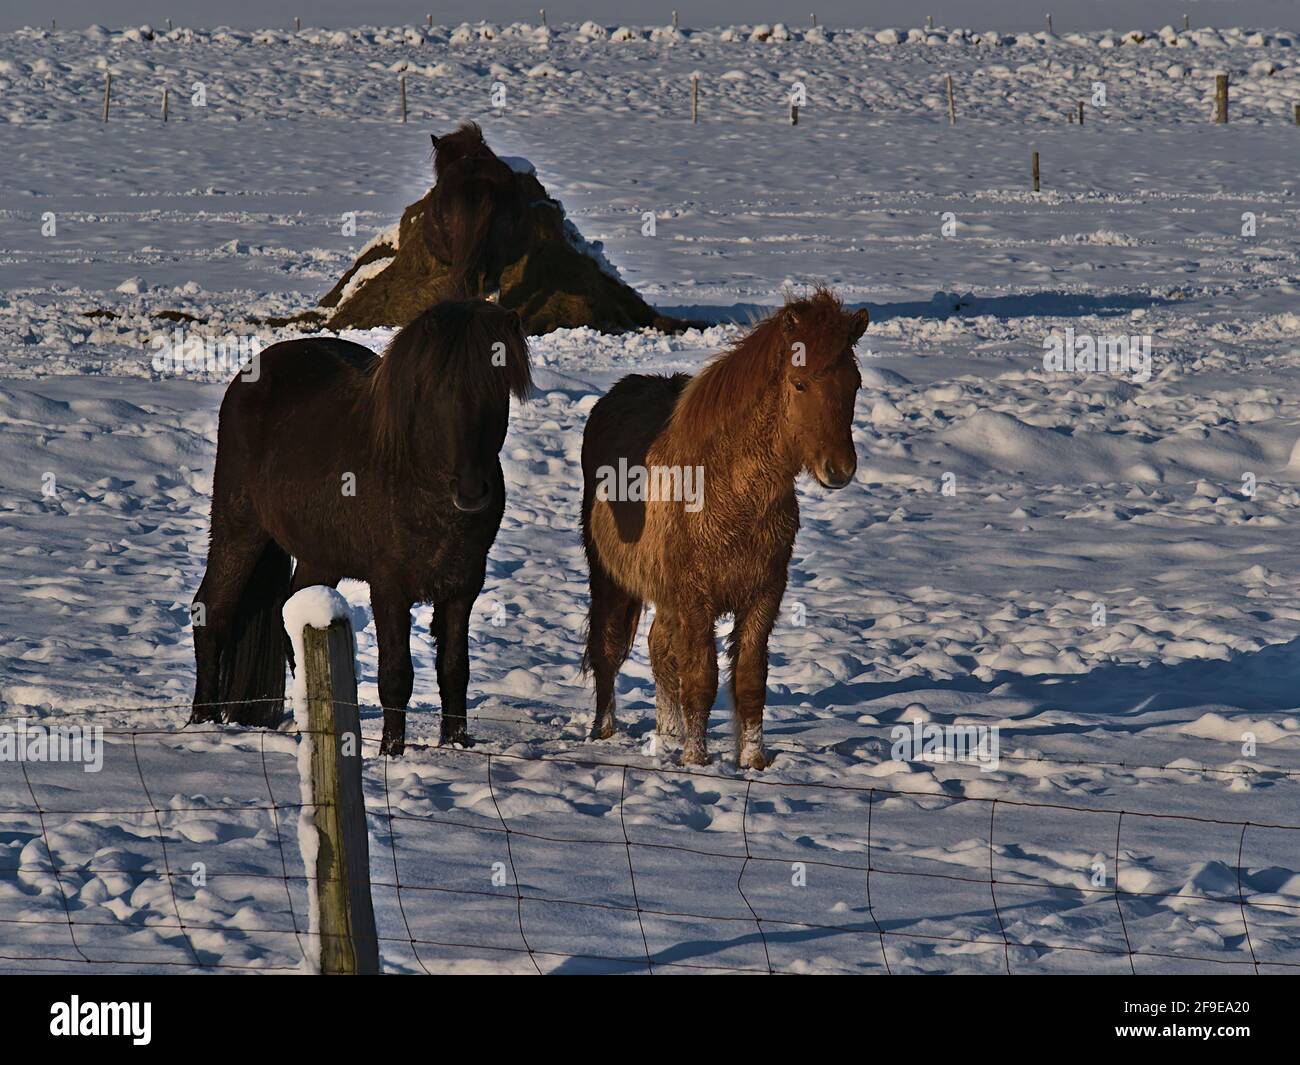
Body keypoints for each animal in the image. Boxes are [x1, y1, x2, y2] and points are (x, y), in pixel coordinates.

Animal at [187, 297, 527, 759]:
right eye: (439, 391)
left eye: (498, 389)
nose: (472, 491)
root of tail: (252, 374)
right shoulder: (389, 586)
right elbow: (396, 674)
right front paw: (391, 751)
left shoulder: (463, 585)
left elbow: (455, 669)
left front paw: (457, 744)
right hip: (238, 526)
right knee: (212, 611)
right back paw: (201, 721)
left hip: (318, 557)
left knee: (291, 616)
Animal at [577, 289, 863, 764]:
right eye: (800, 384)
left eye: (854, 384)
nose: (839, 469)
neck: (728, 492)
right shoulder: (697, 600)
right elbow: (701, 679)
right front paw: (696, 759)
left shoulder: (763, 595)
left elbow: (748, 682)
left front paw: (753, 761)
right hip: (609, 577)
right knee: (608, 649)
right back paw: (604, 732)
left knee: (658, 647)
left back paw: (667, 733)